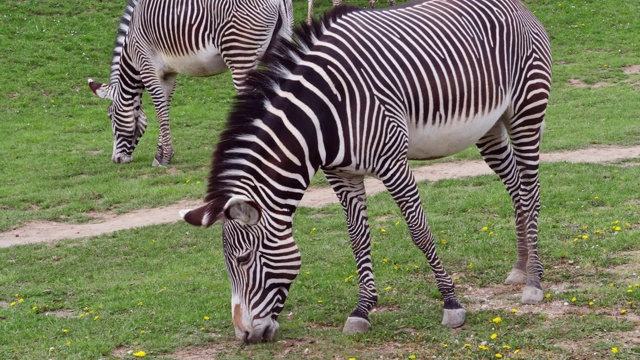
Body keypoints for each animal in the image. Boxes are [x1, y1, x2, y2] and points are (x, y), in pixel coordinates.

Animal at [86, 0, 294, 166]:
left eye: (110, 116)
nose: (117, 160)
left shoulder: (147, 67)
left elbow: (159, 108)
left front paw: (164, 157)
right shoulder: (169, 74)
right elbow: (165, 108)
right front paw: (161, 154)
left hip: (239, 54)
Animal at [179, 0, 552, 344]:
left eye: (243, 259)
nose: (243, 335)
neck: (325, 114)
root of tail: (518, 6)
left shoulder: (393, 163)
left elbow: (419, 231)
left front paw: (451, 303)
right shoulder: (341, 174)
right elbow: (357, 239)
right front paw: (362, 310)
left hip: (526, 113)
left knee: (532, 193)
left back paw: (533, 282)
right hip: (489, 128)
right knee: (516, 188)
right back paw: (520, 268)